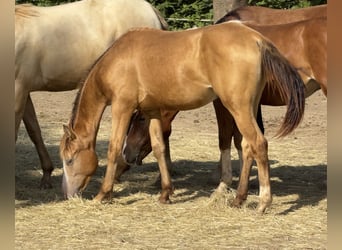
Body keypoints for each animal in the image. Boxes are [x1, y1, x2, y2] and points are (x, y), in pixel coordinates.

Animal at [60, 21, 306, 213]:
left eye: (69, 160)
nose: (67, 194)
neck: (117, 58)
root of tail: (256, 39)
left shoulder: (122, 107)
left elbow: (113, 148)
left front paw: (103, 194)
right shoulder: (152, 111)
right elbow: (159, 148)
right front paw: (165, 193)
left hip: (237, 107)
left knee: (259, 144)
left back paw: (264, 202)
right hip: (247, 108)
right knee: (247, 147)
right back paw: (238, 198)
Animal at [122, 9, 326, 186]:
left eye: (140, 119)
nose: (126, 154)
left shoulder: (222, 103)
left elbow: (226, 137)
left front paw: (225, 181)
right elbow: (241, 139)